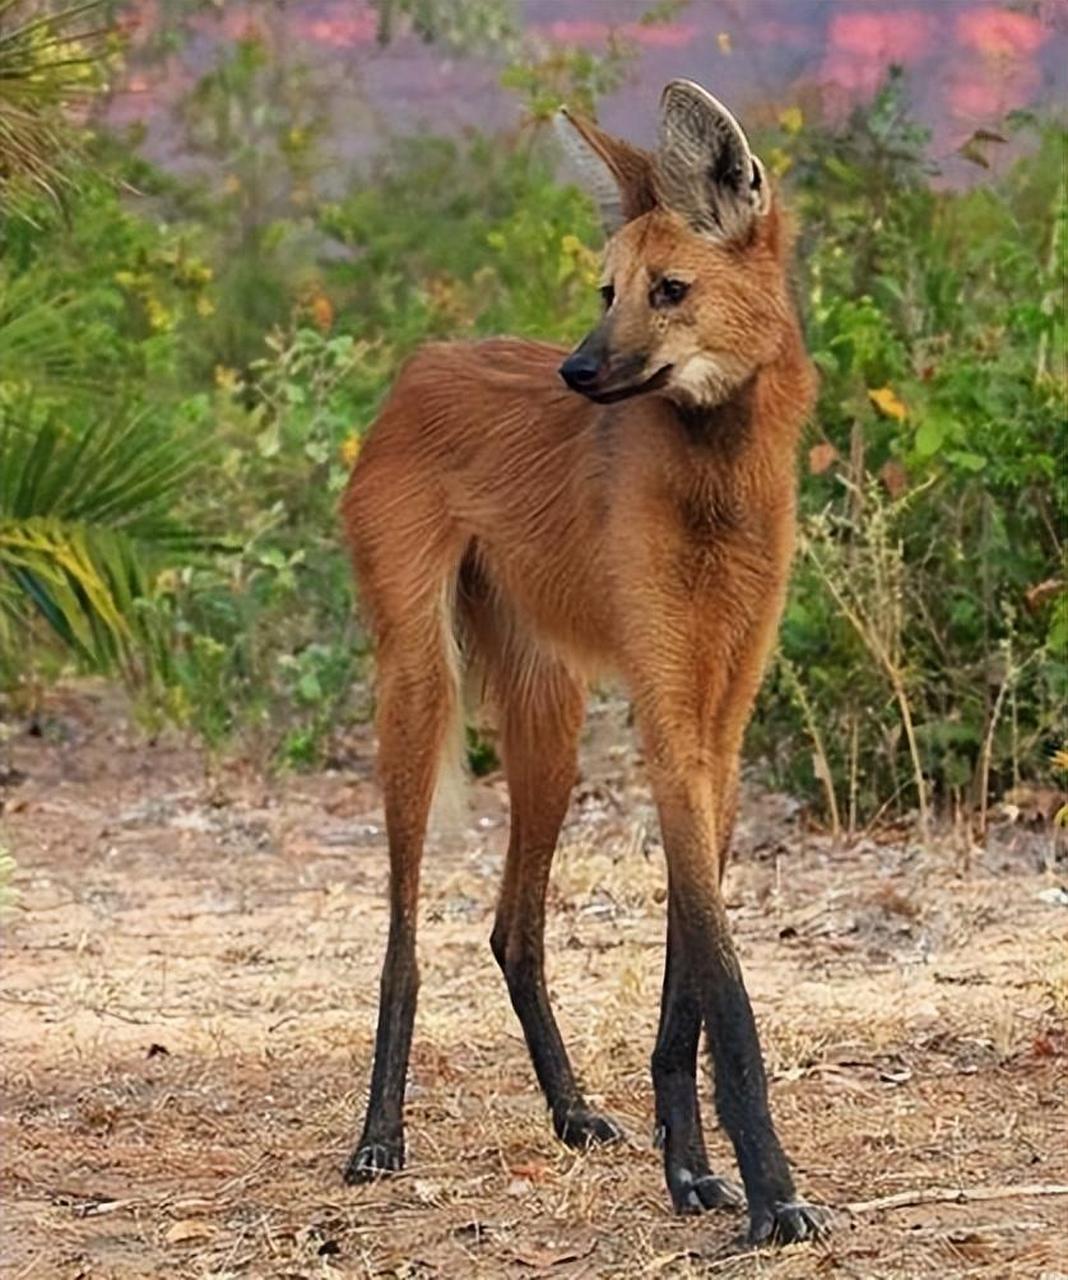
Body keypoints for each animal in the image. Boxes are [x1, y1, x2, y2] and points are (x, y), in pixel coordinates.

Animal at [340, 77, 824, 1239]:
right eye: (607, 290)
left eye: (670, 290)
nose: (576, 368)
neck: (718, 476)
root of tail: (419, 363)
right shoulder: (667, 713)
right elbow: (726, 984)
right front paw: (771, 1191)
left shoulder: (719, 726)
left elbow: (690, 971)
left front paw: (694, 1172)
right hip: (420, 688)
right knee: (404, 933)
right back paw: (378, 1137)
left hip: (549, 724)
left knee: (512, 929)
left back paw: (569, 1111)